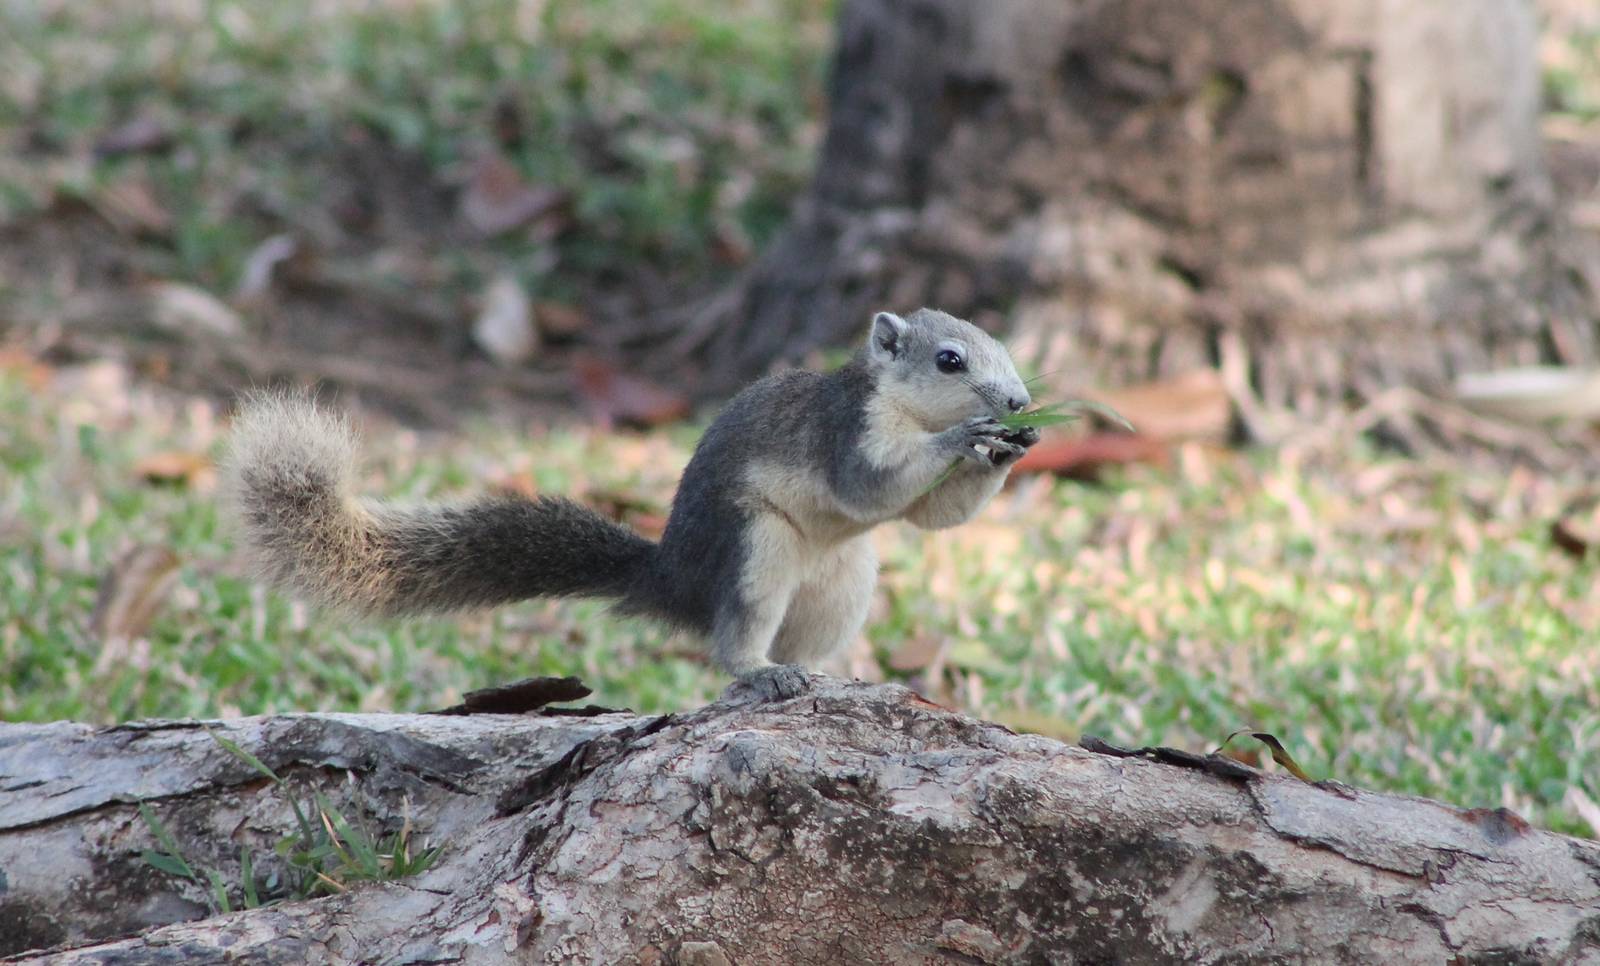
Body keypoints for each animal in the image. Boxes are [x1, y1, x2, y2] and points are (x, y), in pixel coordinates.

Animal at [223, 308, 1038, 700]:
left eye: (1004, 348)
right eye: (950, 360)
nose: (1022, 402)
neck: (899, 404)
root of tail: (674, 582)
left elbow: (934, 517)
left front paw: (1010, 449)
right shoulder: (848, 431)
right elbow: (871, 485)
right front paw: (970, 434)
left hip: (843, 581)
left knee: (803, 640)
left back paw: (827, 678)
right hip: (757, 549)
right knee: (735, 641)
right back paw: (761, 672)